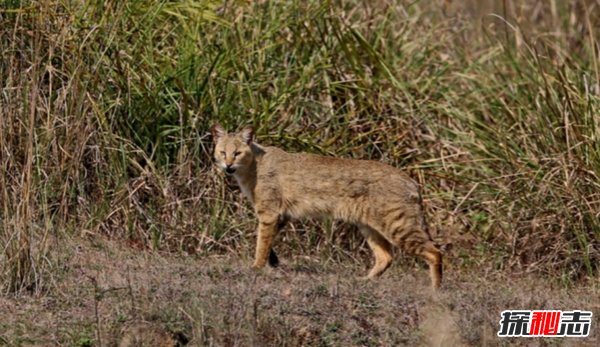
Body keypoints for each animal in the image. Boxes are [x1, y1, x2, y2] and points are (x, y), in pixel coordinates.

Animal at [211, 123, 440, 290]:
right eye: (222, 152)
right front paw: (272, 262)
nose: (228, 166)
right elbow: (268, 242)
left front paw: (257, 267)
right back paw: (365, 281)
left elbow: (261, 242)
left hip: (398, 227)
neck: (254, 166)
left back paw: (436, 289)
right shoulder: (280, 216)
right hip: (370, 228)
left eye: (237, 153)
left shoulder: (269, 212)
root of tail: (412, 181)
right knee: (386, 257)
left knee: (435, 253)